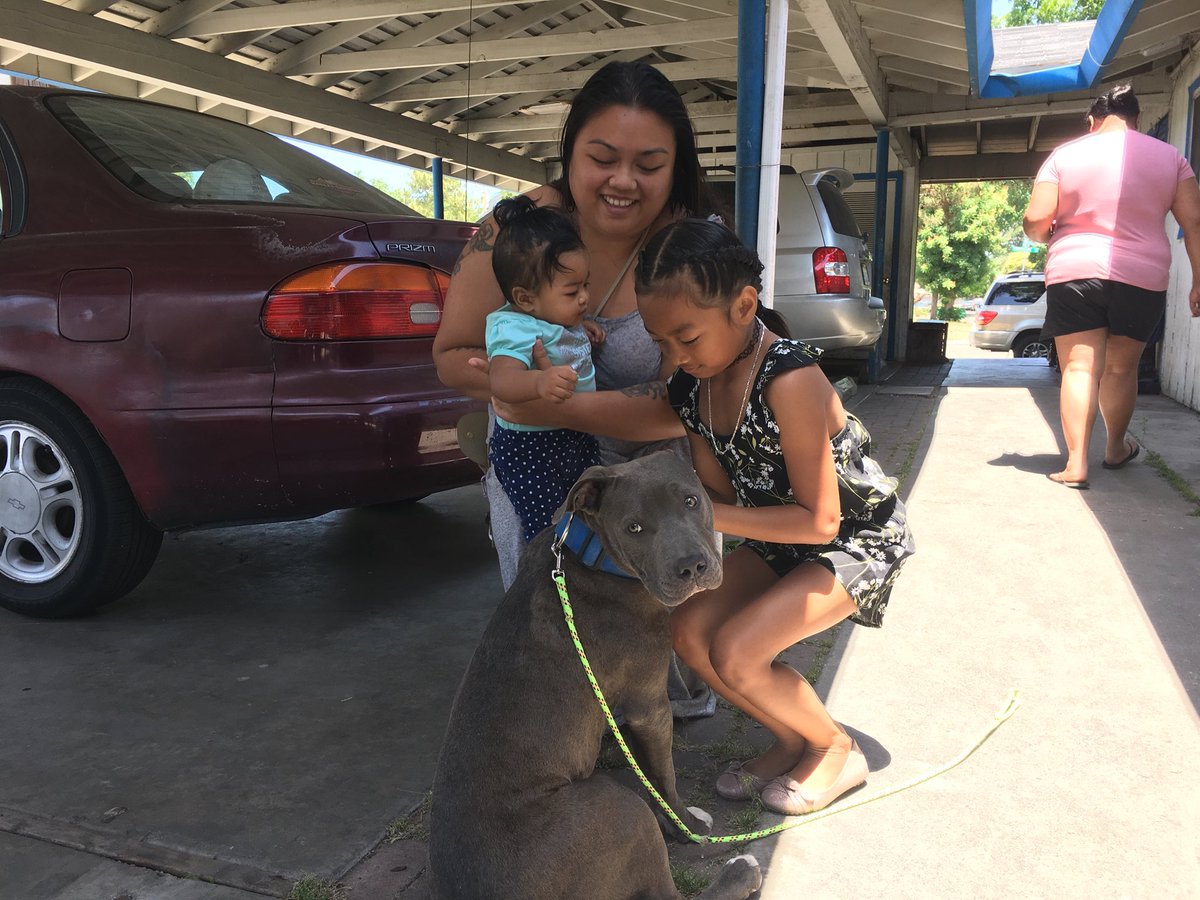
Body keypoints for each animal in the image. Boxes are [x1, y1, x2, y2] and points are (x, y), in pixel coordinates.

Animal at [432, 453, 763, 900]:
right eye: (633, 528)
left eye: (691, 501)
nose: (691, 567)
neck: (594, 557)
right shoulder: (649, 704)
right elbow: (665, 777)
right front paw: (688, 827)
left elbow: (653, 776)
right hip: (620, 809)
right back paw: (742, 869)